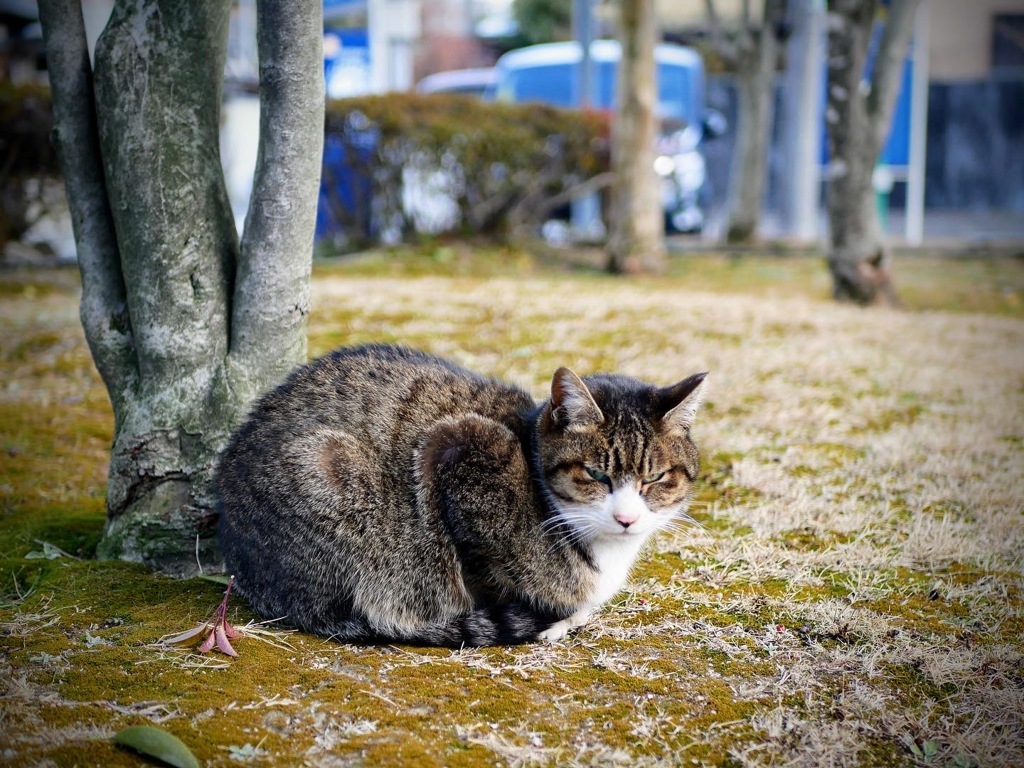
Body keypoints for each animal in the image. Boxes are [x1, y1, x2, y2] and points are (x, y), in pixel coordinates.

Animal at [216, 346, 704, 647]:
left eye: (656, 478)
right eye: (597, 474)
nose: (626, 518)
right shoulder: (456, 452)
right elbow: (488, 576)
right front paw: (551, 616)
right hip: (329, 469)